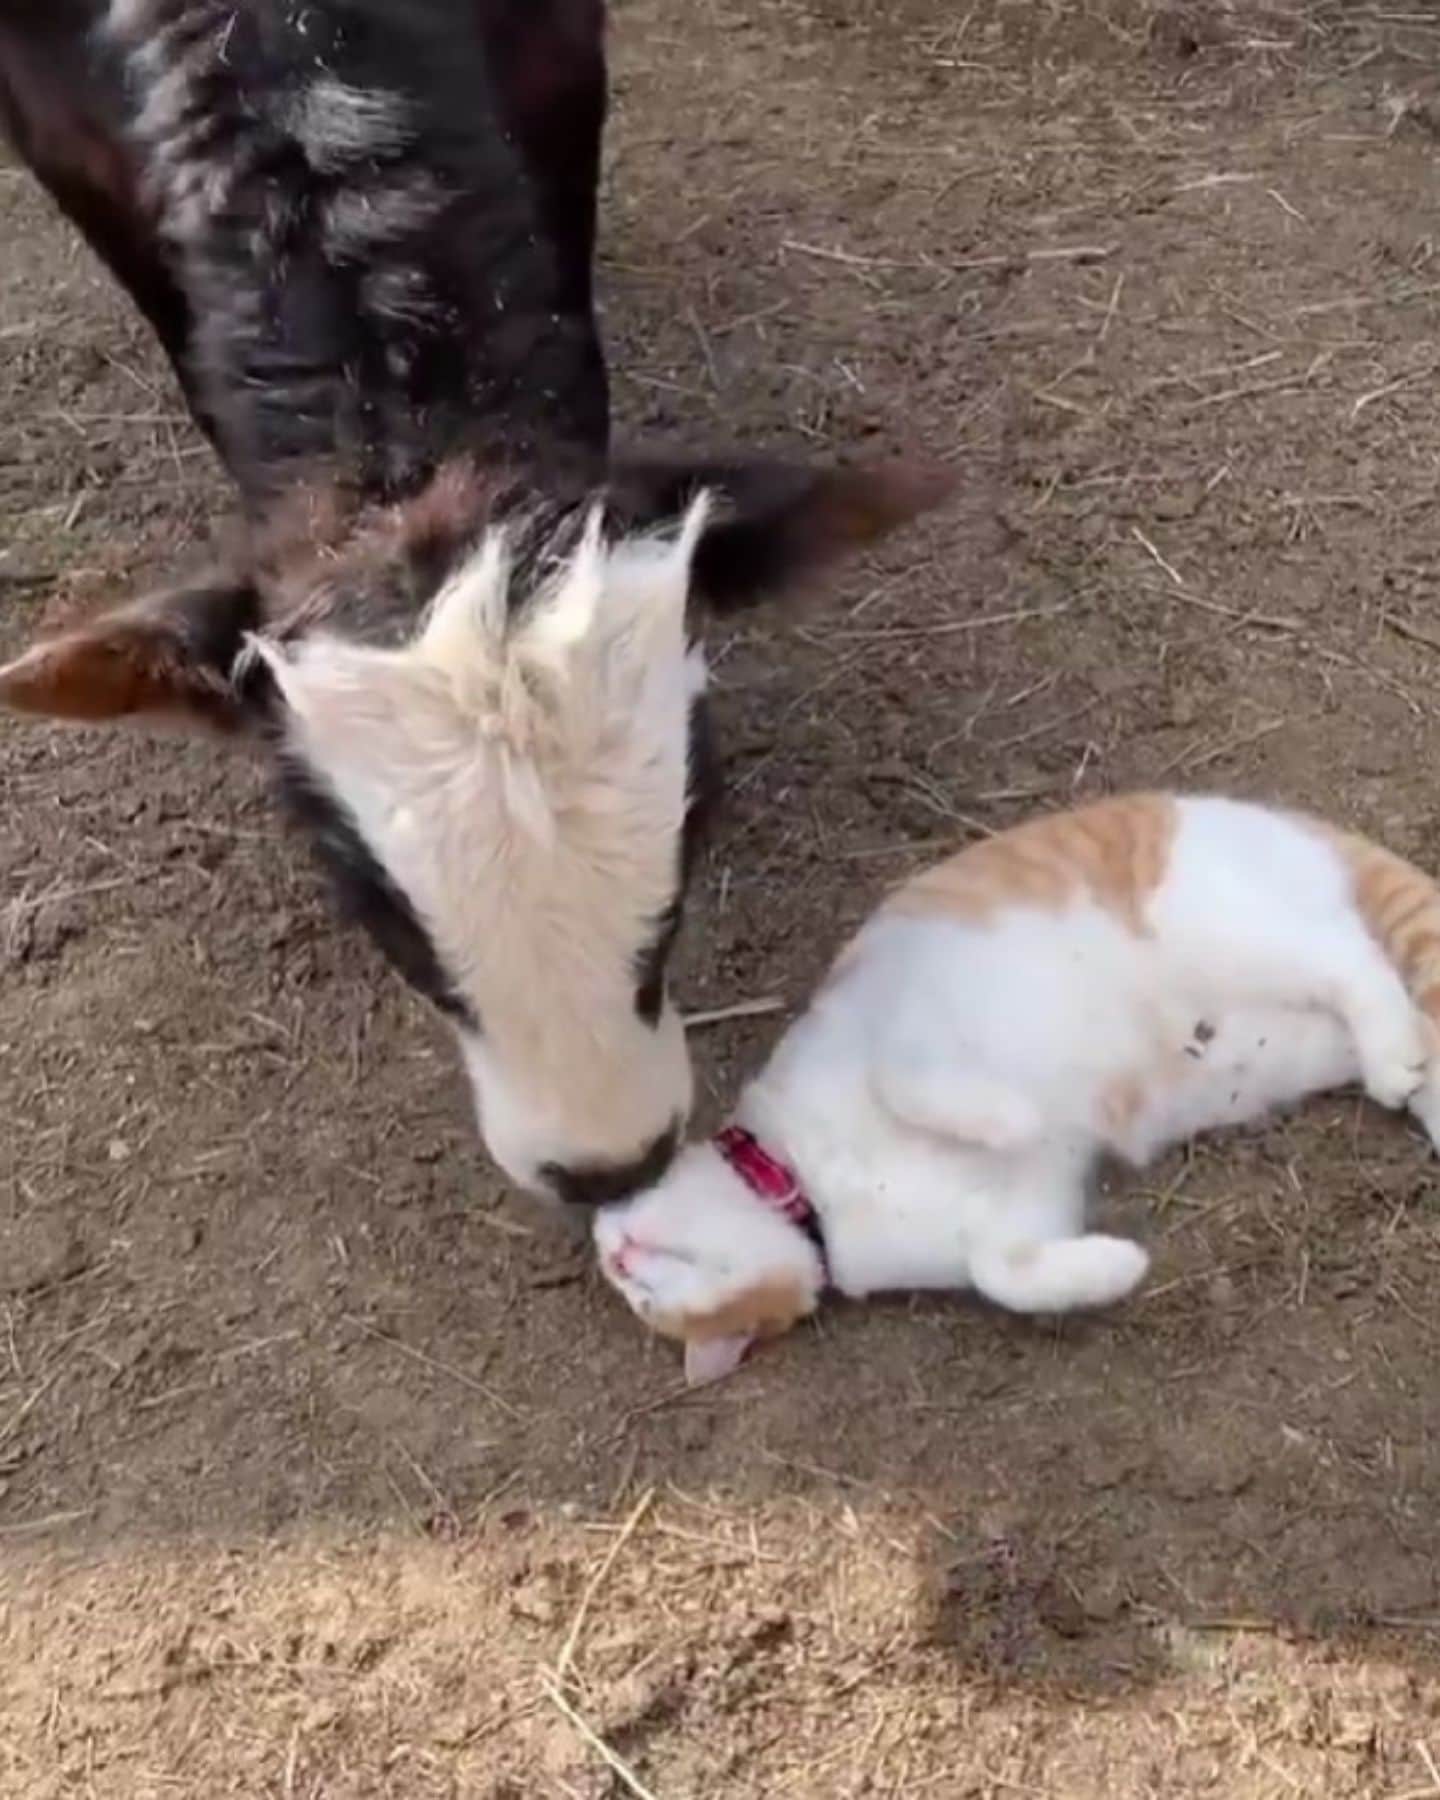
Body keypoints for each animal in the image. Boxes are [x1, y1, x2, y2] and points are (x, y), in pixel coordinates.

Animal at [590, 792, 1440, 1375]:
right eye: (645, 1303)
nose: (618, 1255)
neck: (820, 1195)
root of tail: (1275, 818)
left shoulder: (898, 1023)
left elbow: (911, 1083)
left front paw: (1008, 1118)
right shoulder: (1025, 1211)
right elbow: (1004, 1276)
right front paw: (1112, 1268)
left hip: (1231, 928)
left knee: (1348, 956)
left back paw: (1390, 1055)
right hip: (1288, 1035)